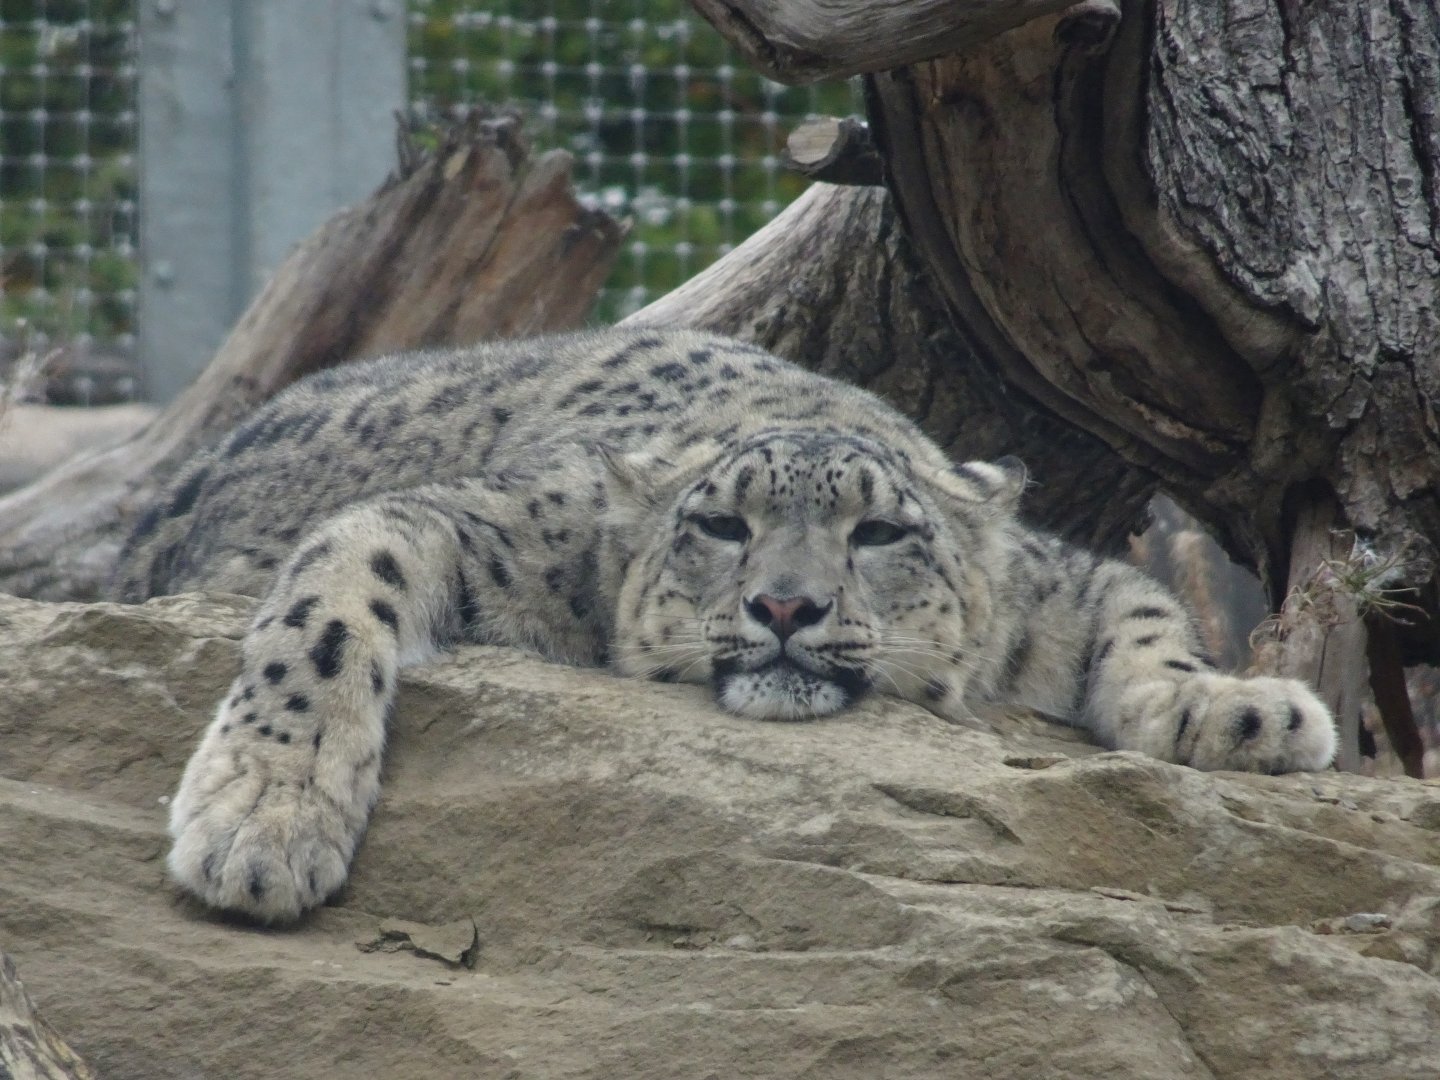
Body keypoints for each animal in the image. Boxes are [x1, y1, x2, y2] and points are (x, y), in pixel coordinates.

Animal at [113, 327, 1338, 923]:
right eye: (719, 522)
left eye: (879, 532)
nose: (786, 605)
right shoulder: (481, 524)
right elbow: (328, 604)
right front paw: (263, 824)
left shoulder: (1057, 583)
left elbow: (1147, 615)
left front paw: (1243, 712)